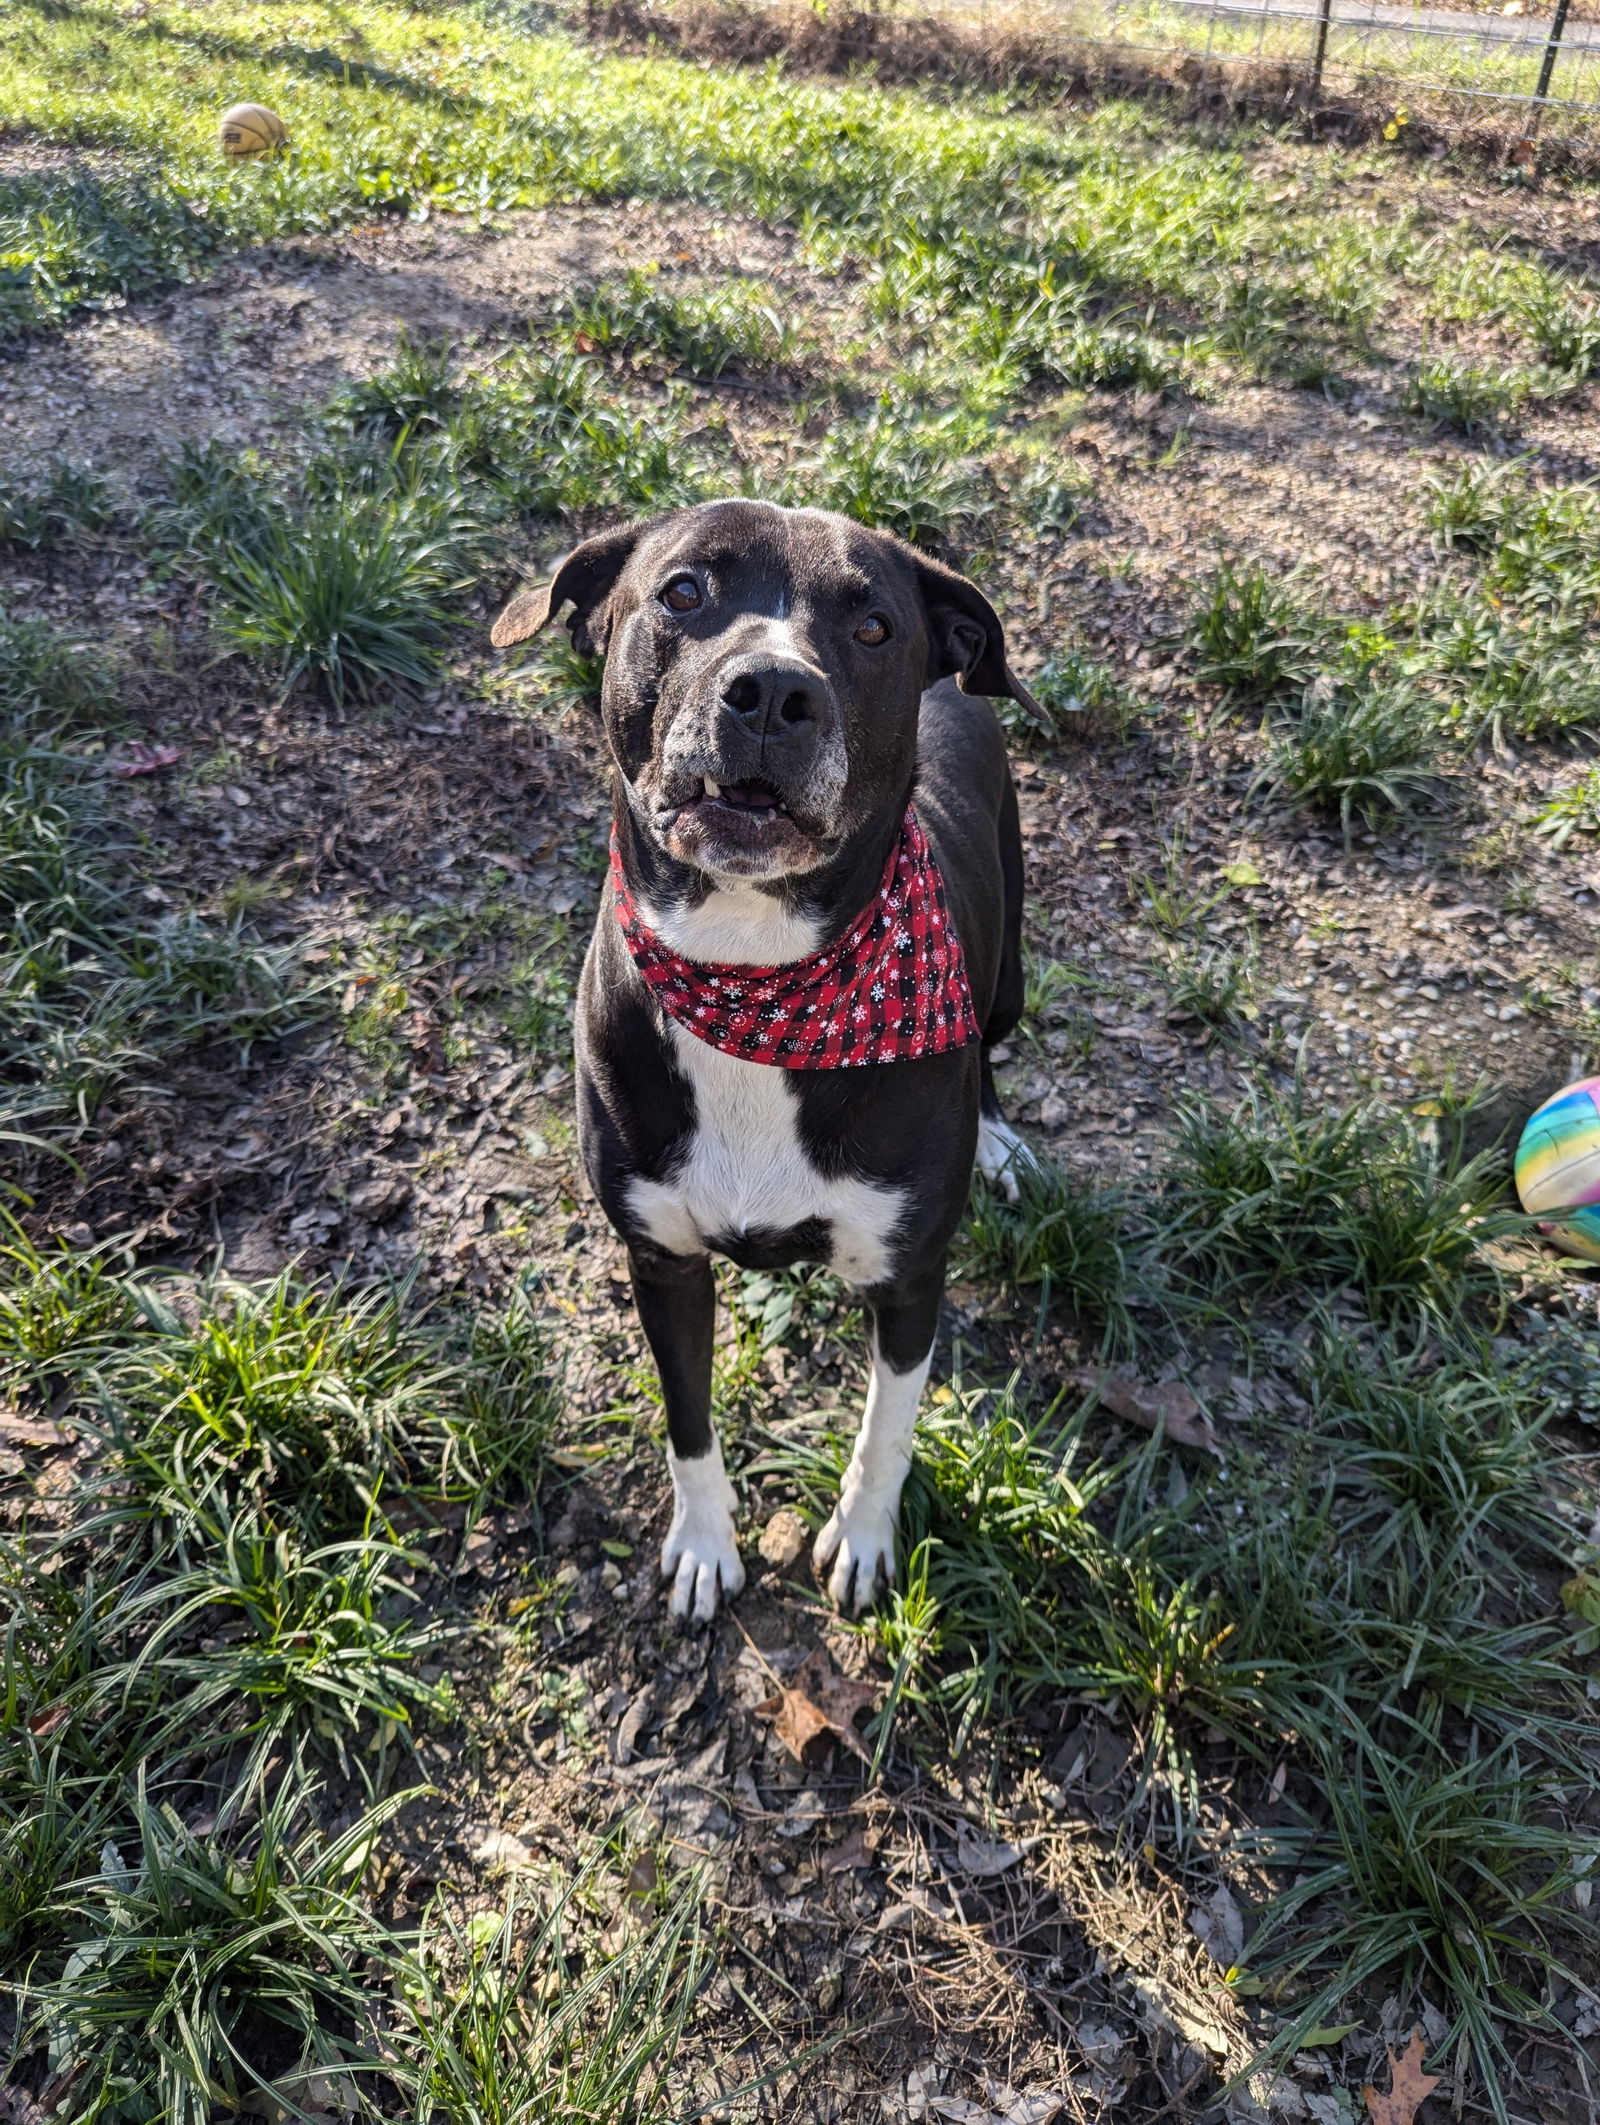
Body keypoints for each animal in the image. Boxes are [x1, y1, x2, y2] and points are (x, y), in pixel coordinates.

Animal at [490, 505, 1036, 1615]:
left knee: (1000, 1035)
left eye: (872, 628)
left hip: (1006, 962)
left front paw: (863, 1541)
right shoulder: (659, 1259)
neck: (755, 972)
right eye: (682, 591)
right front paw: (705, 1547)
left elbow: (886, 1432)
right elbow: (687, 1422)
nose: (777, 692)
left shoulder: (909, 1274)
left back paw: (1001, 1135)